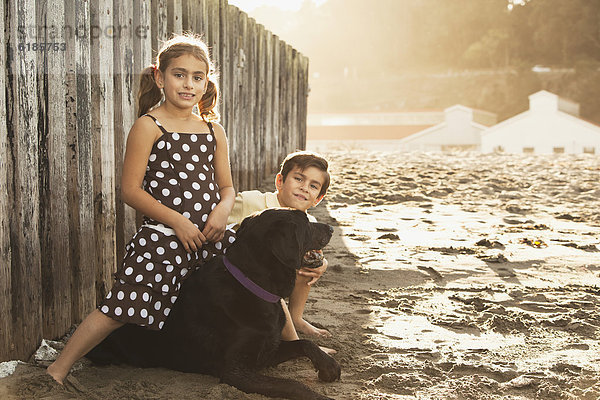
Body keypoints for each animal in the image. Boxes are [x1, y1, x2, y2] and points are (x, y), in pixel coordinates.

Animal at [86, 208, 340, 398]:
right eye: (306, 223)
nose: (331, 228)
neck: (252, 284)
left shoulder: (267, 352)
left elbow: (305, 343)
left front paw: (329, 366)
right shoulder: (236, 371)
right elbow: (292, 385)